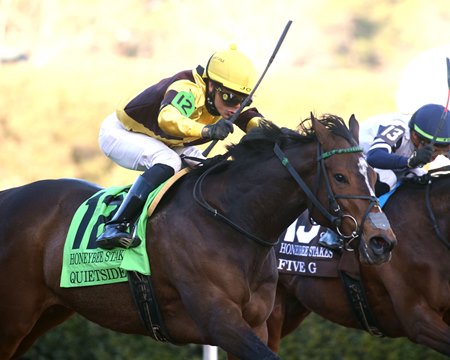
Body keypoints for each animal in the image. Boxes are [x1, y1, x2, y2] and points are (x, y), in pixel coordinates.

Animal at [0, 116, 398, 360]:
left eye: (373, 175)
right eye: (340, 176)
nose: (382, 241)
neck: (231, 221)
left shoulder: (255, 323)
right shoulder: (219, 320)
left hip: (45, 314)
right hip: (14, 316)